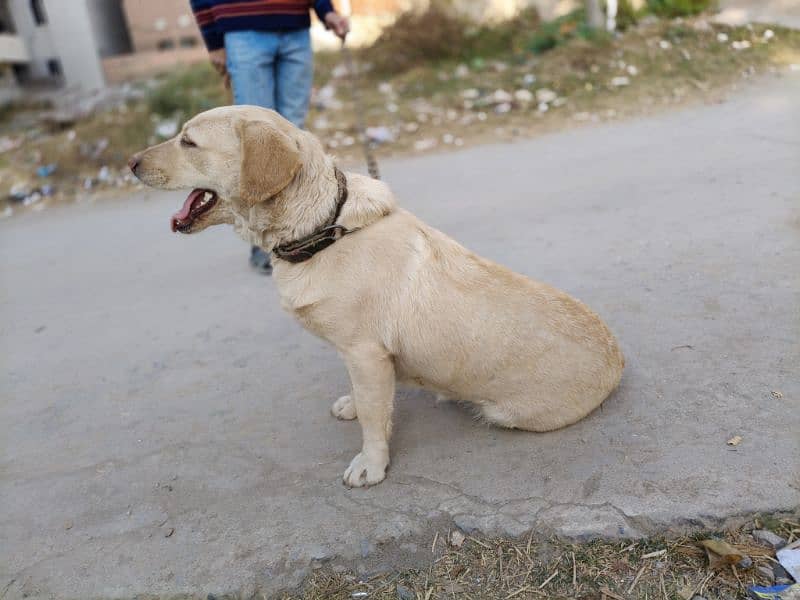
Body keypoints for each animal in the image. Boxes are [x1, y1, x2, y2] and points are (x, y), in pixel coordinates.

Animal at [130, 106, 624, 488]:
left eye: (189, 141)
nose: (130, 163)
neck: (323, 230)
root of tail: (618, 362)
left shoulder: (366, 353)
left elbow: (373, 417)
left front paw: (372, 463)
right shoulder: (358, 358)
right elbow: (365, 399)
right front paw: (354, 406)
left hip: (505, 412)